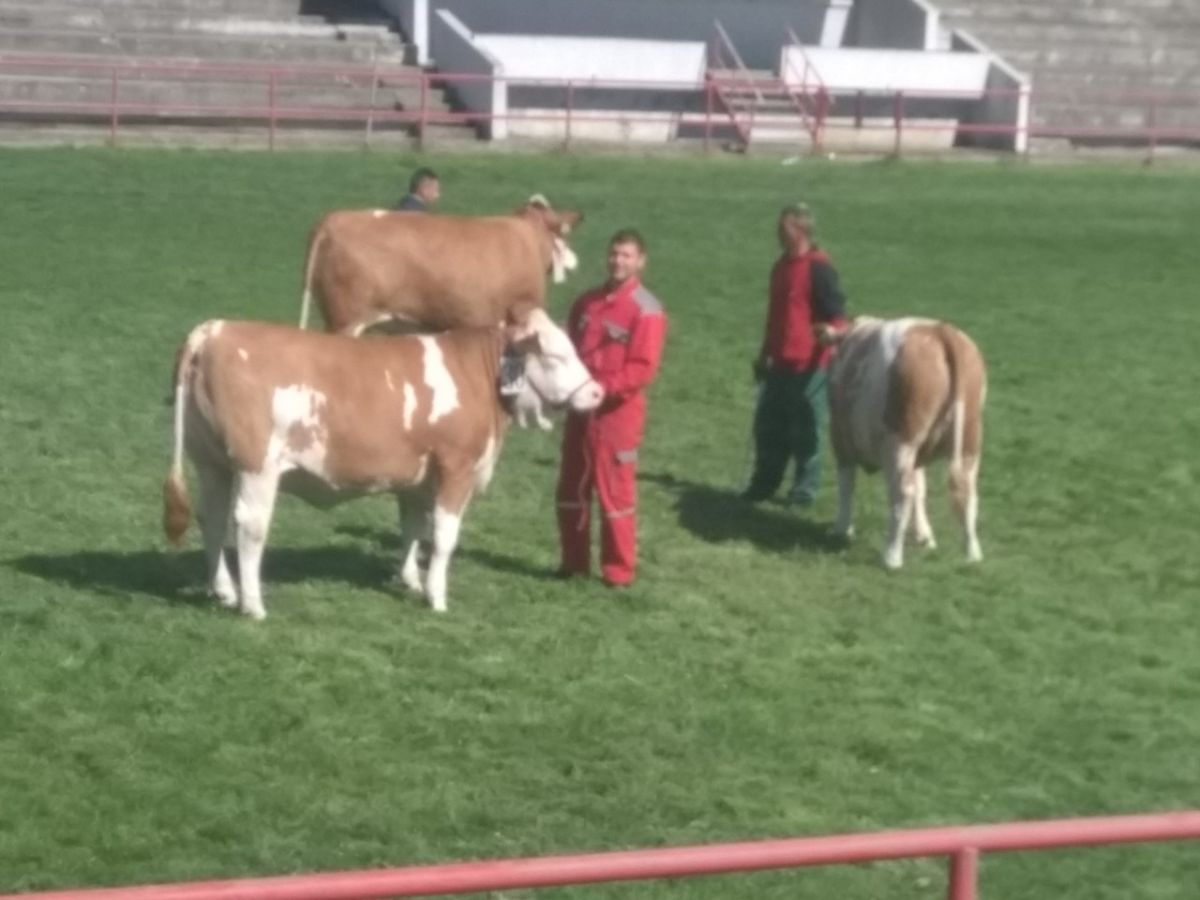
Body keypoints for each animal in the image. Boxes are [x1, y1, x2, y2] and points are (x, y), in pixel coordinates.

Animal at [163, 309, 604, 619]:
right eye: (556, 355)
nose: (598, 393)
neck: (477, 375)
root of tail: (213, 330)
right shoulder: (456, 467)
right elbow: (443, 536)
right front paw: (436, 595)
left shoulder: (417, 474)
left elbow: (411, 526)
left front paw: (410, 581)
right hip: (257, 466)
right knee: (249, 526)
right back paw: (252, 604)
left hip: (212, 463)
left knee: (213, 518)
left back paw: (223, 590)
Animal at [820, 316, 988, 571]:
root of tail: (940, 331)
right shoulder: (918, 457)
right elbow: (921, 488)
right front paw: (923, 536)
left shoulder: (841, 438)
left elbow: (846, 486)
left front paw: (842, 529)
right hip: (969, 439)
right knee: (967, 493)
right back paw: (972, 553)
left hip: (900, 442)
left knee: (902, 493)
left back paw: (892, 556)